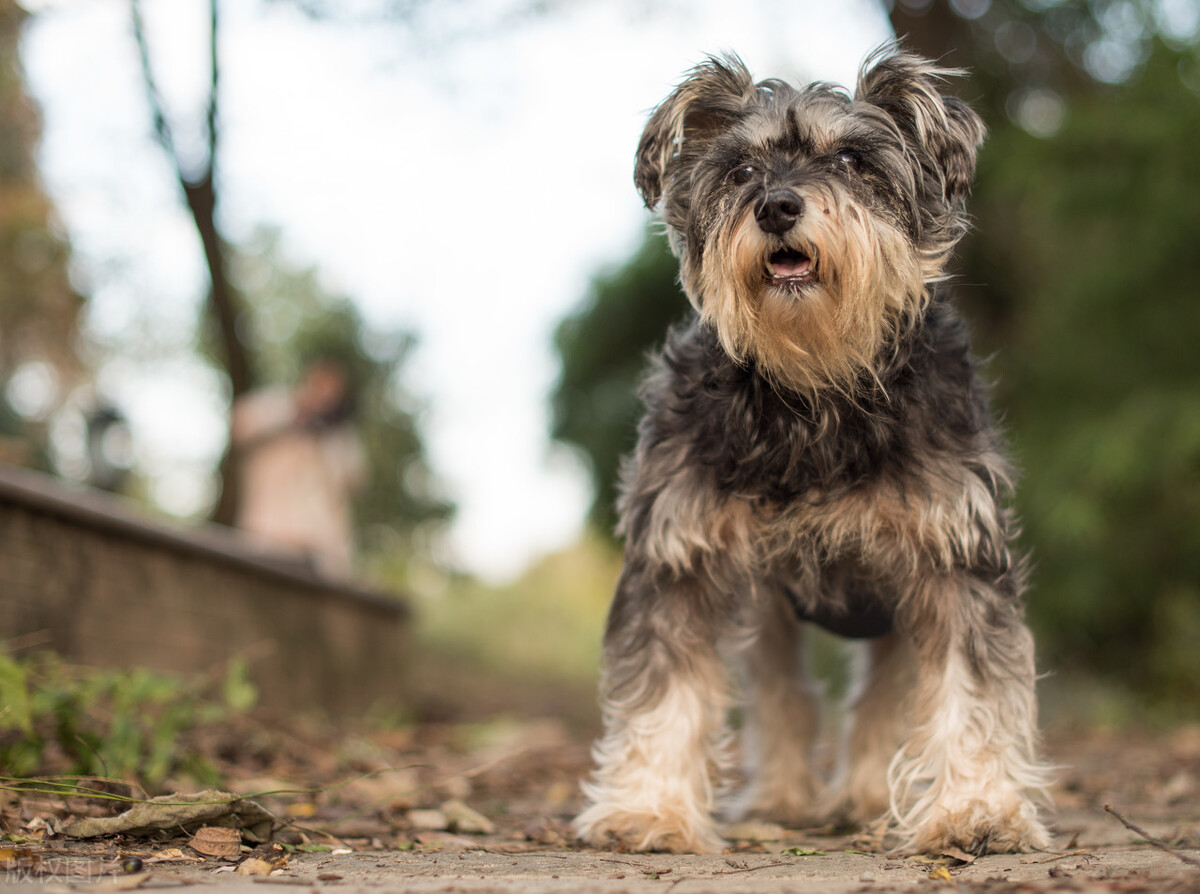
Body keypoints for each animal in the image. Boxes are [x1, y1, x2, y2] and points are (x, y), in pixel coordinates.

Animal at [571, 45, 1051, 854]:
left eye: (853, 159)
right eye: (739, 169)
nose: (776, 206)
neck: (814, 390)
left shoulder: (954, 554)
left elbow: (973, 688)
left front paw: (976, 810)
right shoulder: (680, 556)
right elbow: (664, 690)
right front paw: (650, 809)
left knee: (884, 697)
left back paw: (863, 796)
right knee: (782, 694)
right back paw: (787, 799)